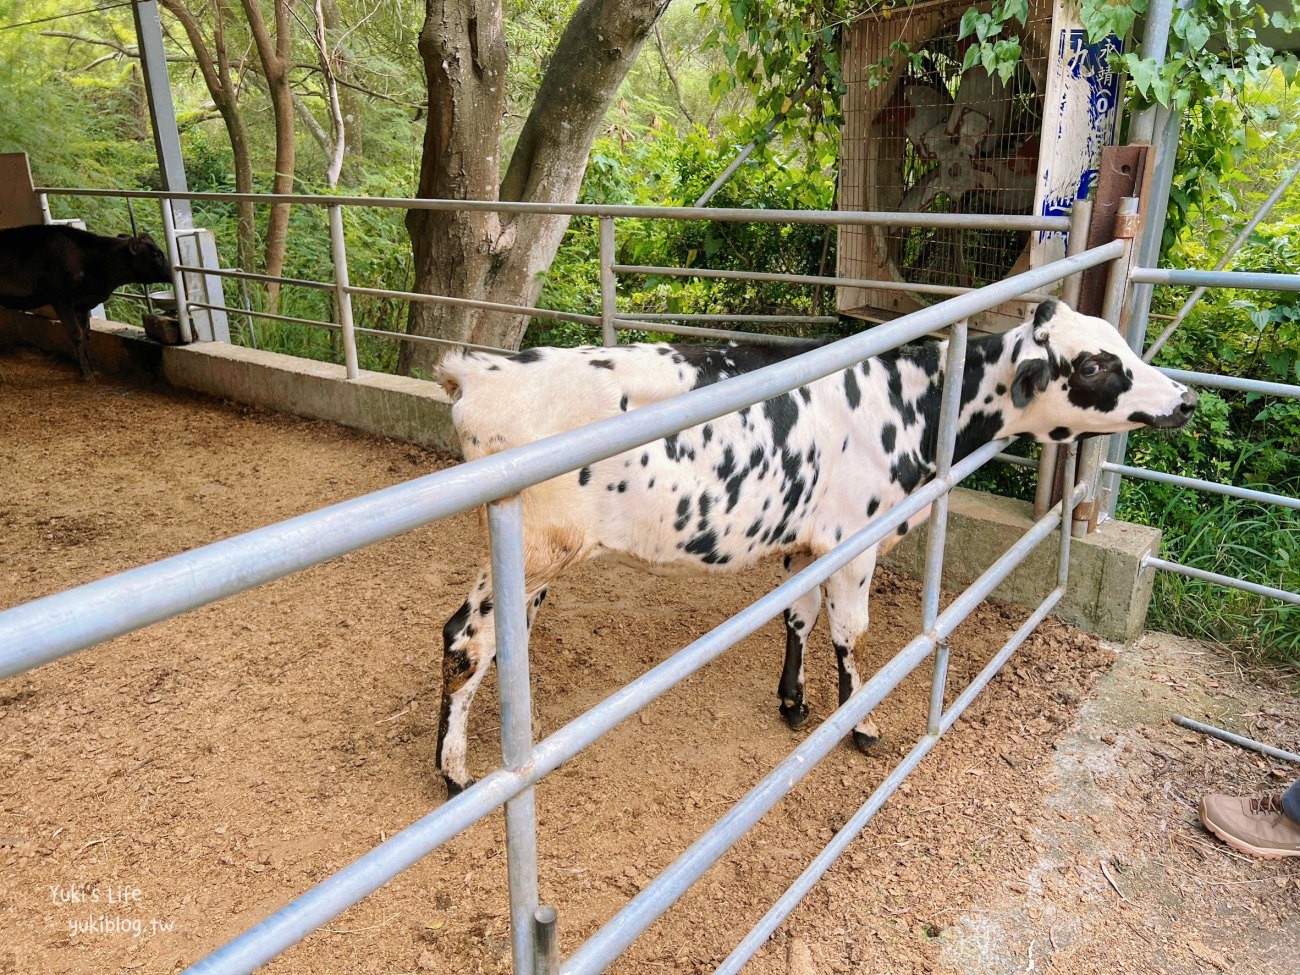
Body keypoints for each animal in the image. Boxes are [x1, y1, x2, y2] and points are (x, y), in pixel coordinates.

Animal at [434, 301, 1196, 795]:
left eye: (1119, 344)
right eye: (1093, 364)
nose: (1186, 400)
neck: (913, 398)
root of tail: (484, 370)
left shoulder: (806, 542)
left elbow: (798, 616)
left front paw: (795, 702)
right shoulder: (853, 541)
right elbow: (850, 631)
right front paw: (859, 722)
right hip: (535, 547)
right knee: (465, 637)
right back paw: (455, 771)